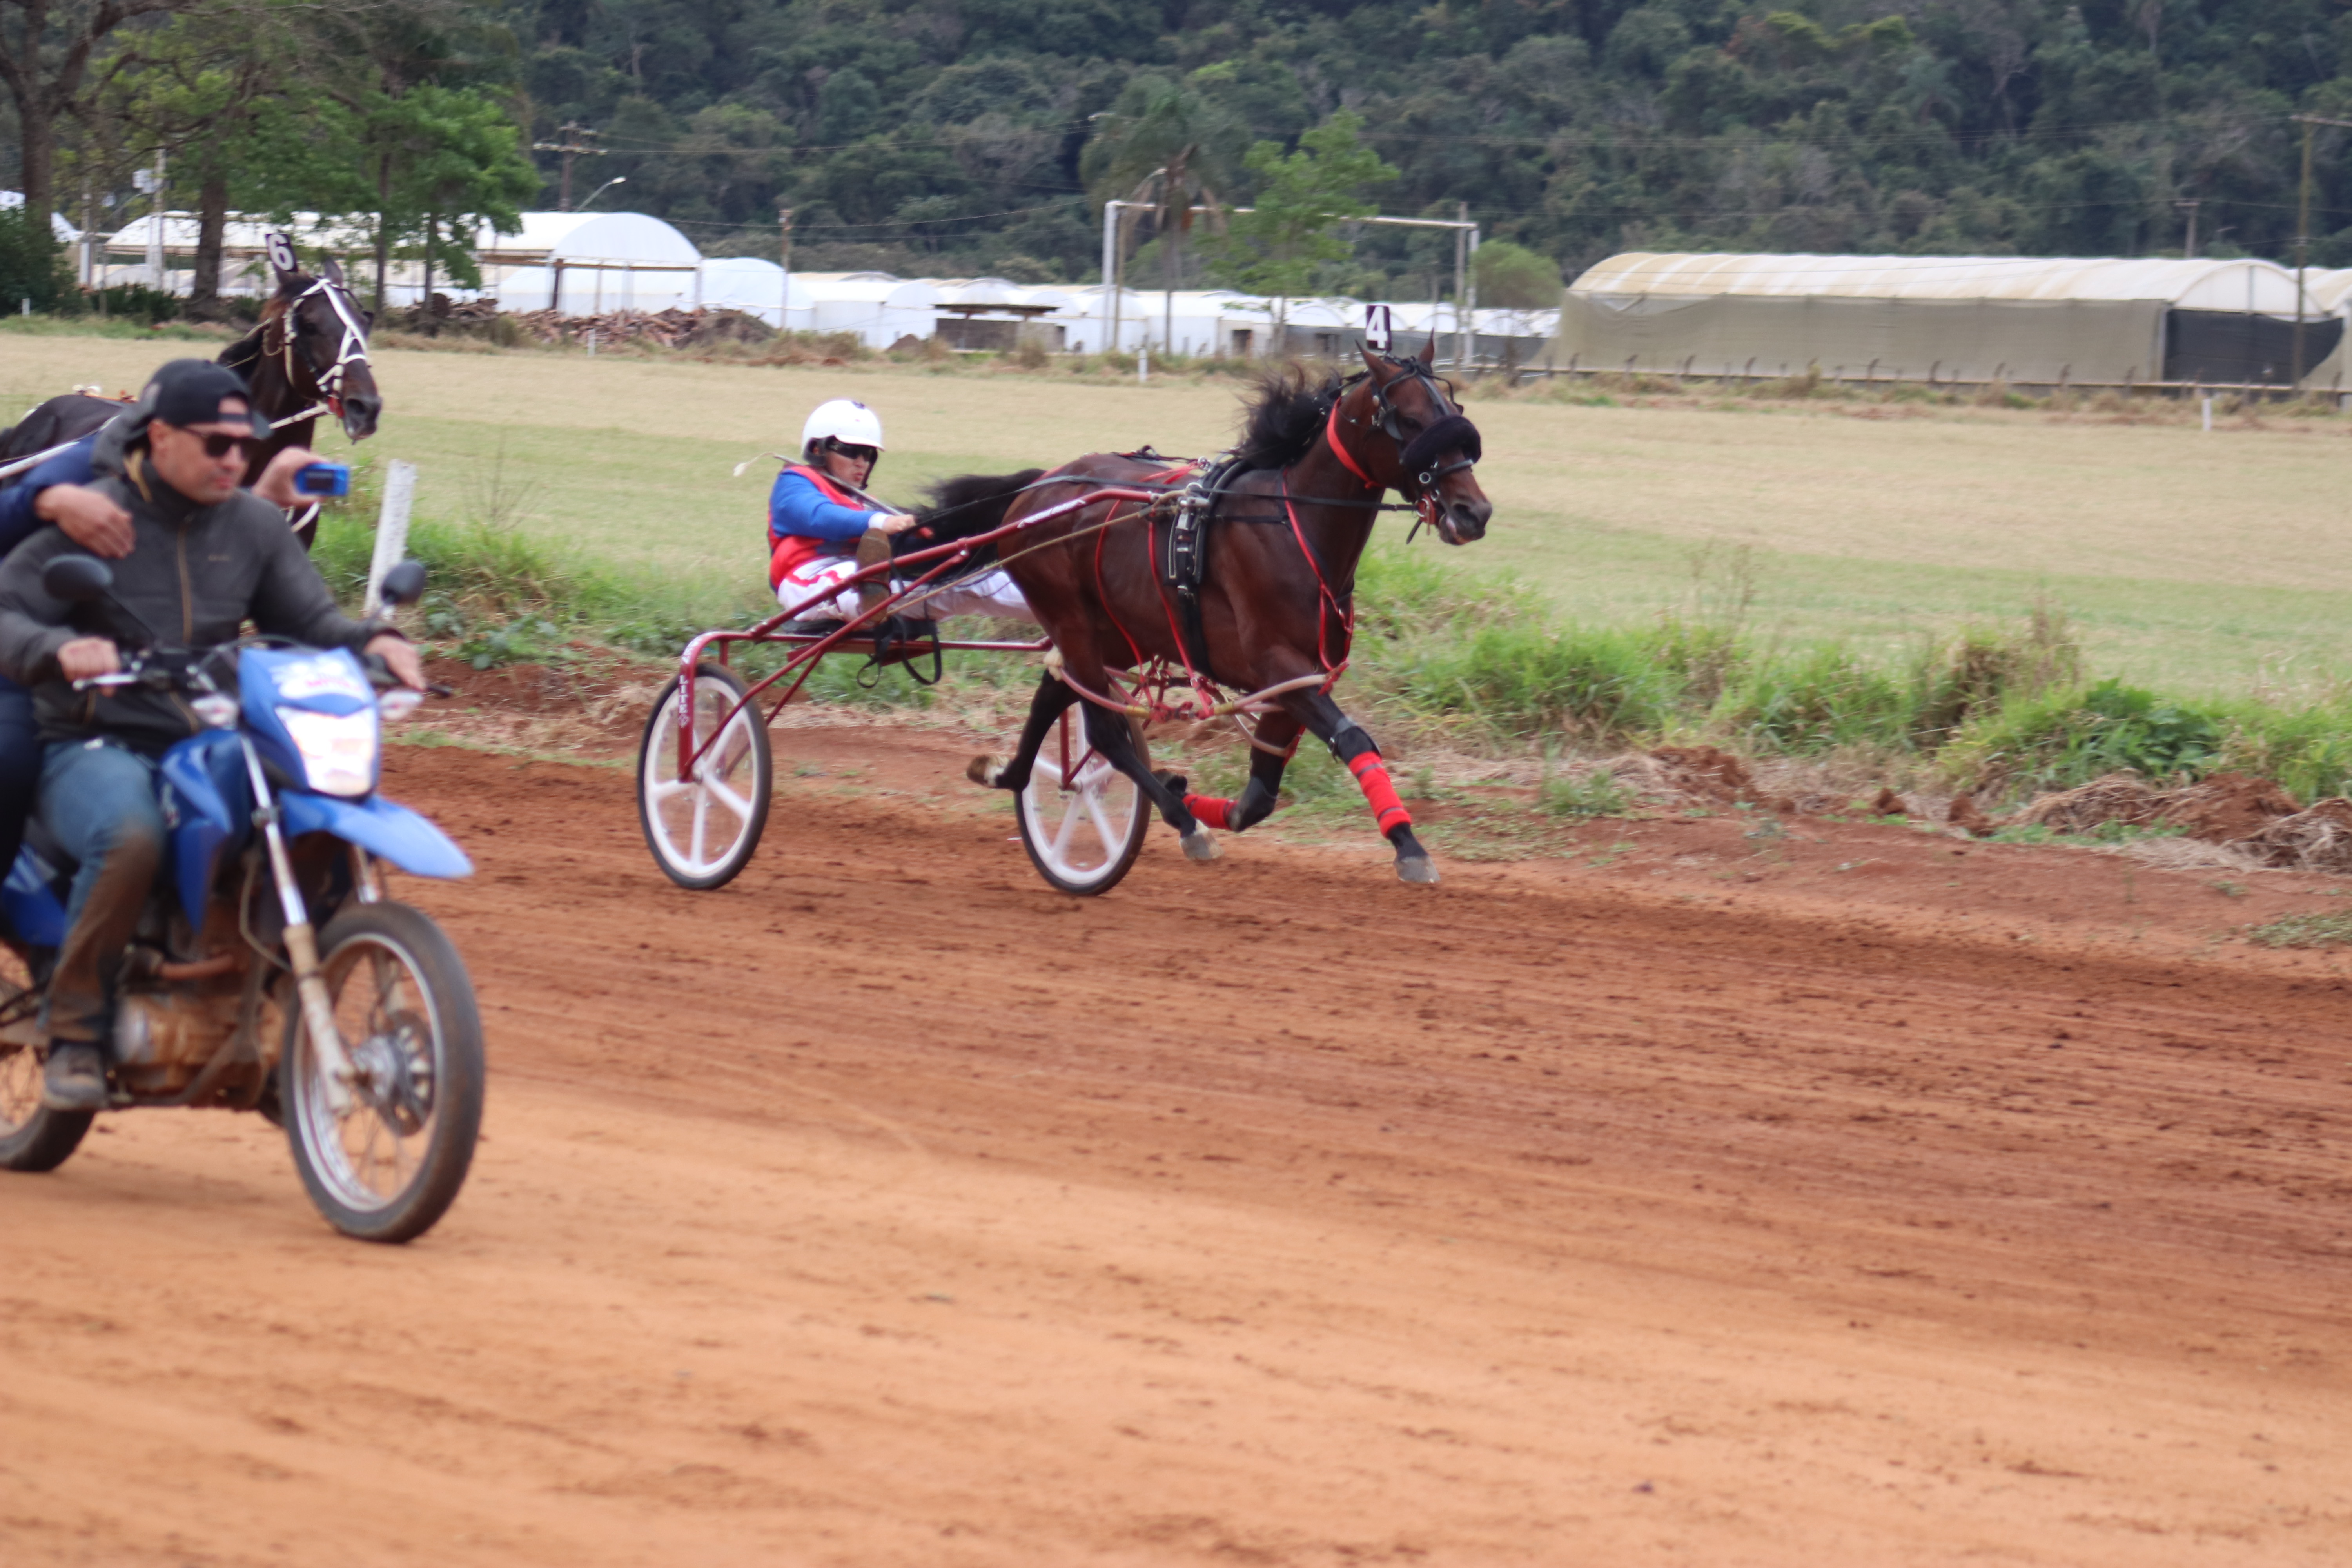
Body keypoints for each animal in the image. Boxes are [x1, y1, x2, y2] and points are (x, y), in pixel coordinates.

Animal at [928, 341, 1492, 884]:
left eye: (1455, 412)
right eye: (1411, 420)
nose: (1475, 512)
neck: (1291, 525)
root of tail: (1039, 487)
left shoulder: (1299, 678)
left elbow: (1258, 797)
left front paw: (1189, 790)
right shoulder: (1276, 664)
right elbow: (1352, 738)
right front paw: (1409, 845)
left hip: (1113, 631)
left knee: (1054, 694)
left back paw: (1014, 775)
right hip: (1072, 620)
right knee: (1103, 731)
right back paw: (1179, 822)